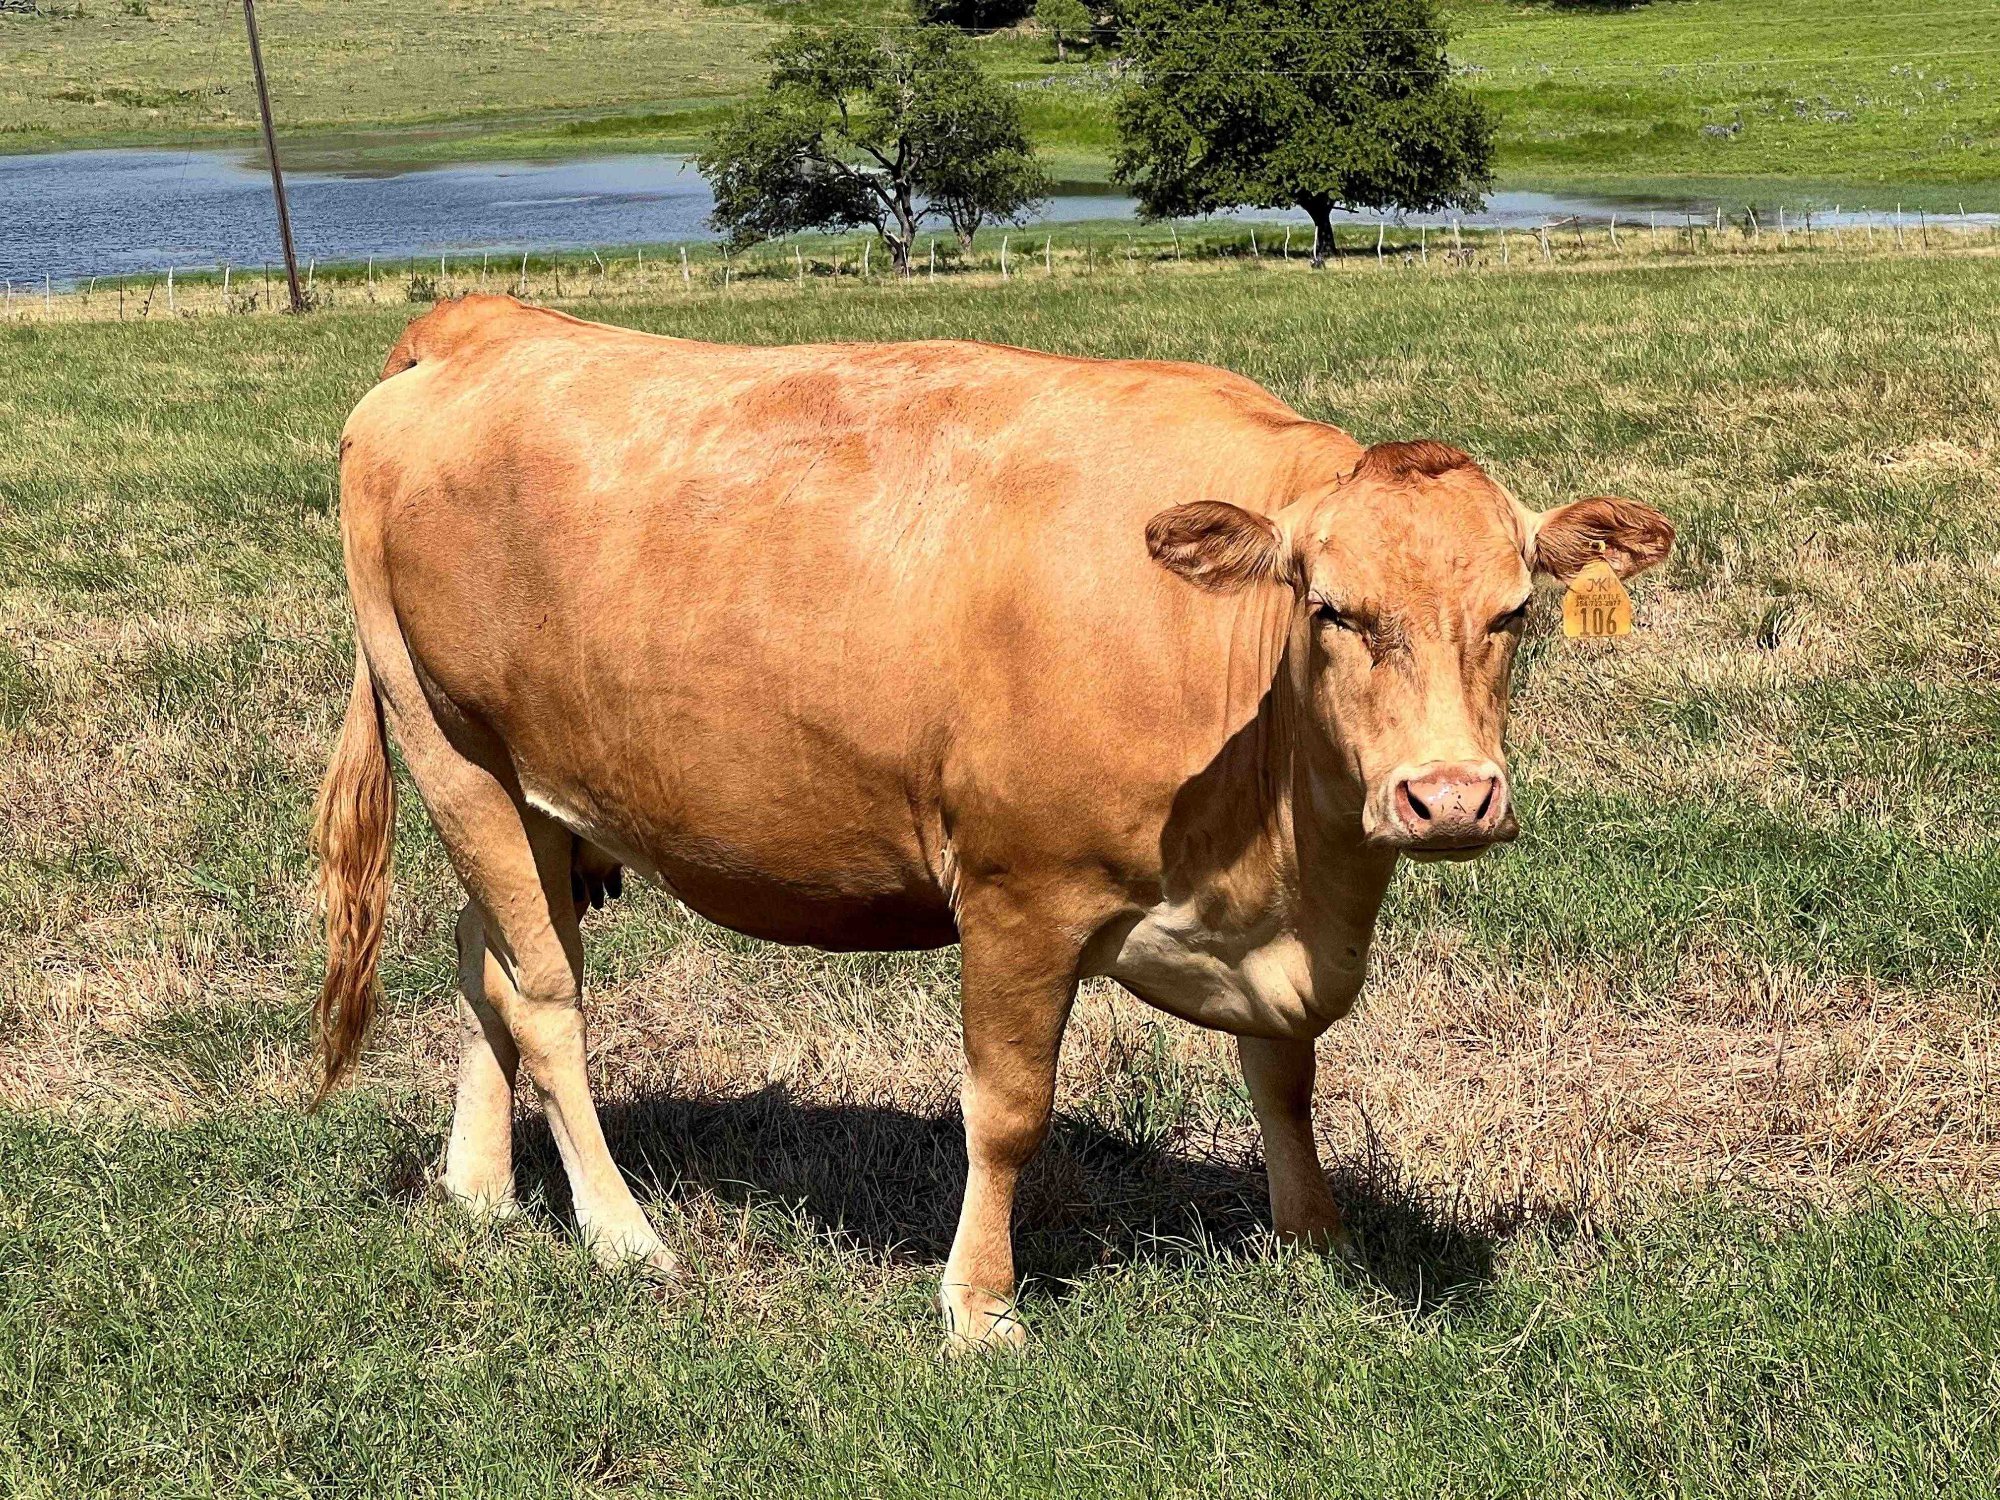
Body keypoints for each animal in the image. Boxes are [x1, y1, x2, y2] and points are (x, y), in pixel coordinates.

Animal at [315, 294, 1672, 1349]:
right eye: (1331, 608)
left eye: (1511, 612)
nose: (1447, 796)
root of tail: (487, 324)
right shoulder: (1022, 894)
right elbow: (1008, 1111)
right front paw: (979, 1306)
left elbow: (1284, 1076)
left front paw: (1313, 1238)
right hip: (449, 744)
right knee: (545, 995)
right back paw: (621, 1234)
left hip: (538, 793)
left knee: (486, 958)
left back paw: (481, 1188)